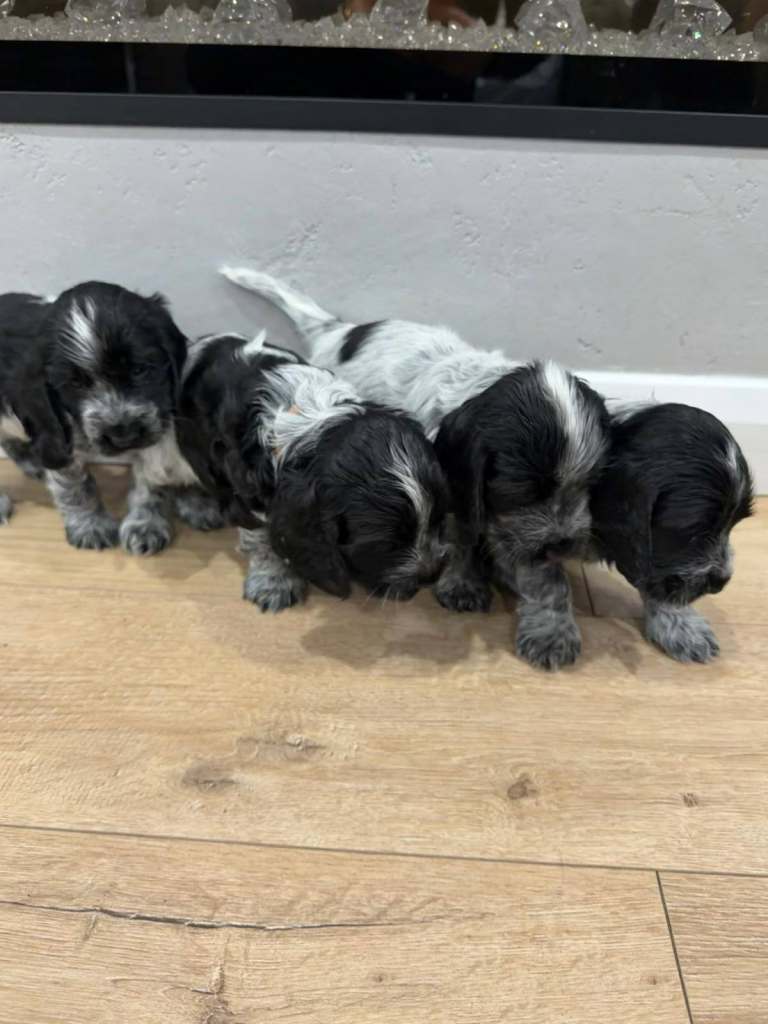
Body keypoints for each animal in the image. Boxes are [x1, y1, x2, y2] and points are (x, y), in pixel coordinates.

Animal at [0, 282, 187, 553]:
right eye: (75, 384)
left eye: (140, 370)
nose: (123, 435)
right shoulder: (59, 435)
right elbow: (75, 486)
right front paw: (90, 525)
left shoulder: (153, 427)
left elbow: (150, 482)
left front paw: (145, 524)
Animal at [167, 329, 449, 609]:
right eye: (386, 545)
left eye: (438, 519)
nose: (431, 575)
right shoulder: (246, 495)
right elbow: (261, 538)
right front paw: (275, 581)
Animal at [222, 267, 610, 670]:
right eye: (523, 491)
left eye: (589, 483)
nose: (565, 542)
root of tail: (339, 331)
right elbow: (464, 541)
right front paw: (462, 583)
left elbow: (544, 574)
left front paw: (552, 632)